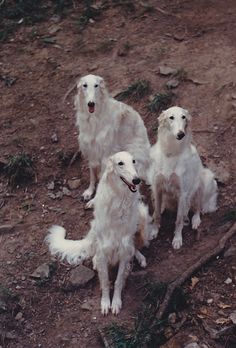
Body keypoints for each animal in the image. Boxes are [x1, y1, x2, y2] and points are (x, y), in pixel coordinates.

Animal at [46, 152, 157, 316]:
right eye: (120, 163)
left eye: (133, 161)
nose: (136, 180)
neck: (120, 199)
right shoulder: (104, 251)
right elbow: (105, 281)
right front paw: (105, 303)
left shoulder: (124, 250)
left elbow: (117, 281)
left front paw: (115, 303)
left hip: (142, 217)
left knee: (135, 248)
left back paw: (140, 258)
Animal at [74, 75, 150, 203]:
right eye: (85, 85)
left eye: (96, 85)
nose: (91, 103)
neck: (94, 118)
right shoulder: (91, 151)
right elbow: (92, 175)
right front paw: (89, 192)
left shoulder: (105, 155)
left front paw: (94, 201)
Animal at [148, 106, 218, 250]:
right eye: (171, 117)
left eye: (183, 117)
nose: (181, 134)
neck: (171, 152)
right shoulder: (157, 187)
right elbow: (157, 214)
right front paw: (154, 231)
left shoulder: (182, 193)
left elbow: (179, 220)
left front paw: (177, 239)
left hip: (203, 180)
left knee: (197, 208)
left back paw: (195, 220)